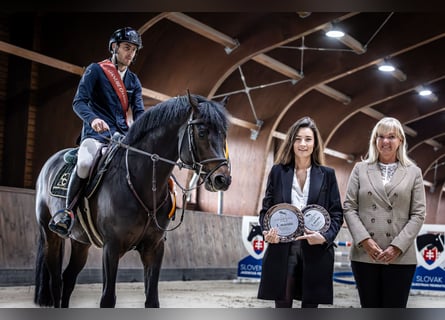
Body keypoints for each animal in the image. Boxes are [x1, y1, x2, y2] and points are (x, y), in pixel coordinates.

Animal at [33, 94, 232, 308]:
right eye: (202, 132)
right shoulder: (111, 247)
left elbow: (152, 300)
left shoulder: (154, 247)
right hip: (50, 236)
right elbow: (107, 299)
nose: (223, 179)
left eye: (224, 134)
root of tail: (51, 161)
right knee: (56, 281)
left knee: (68, 278)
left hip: (81, 242)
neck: (141, 182)